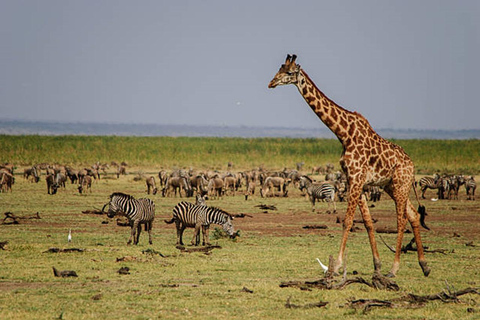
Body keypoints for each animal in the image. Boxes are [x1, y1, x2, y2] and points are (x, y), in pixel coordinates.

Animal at [268, 54, 430, 278]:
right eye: (279, 69)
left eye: (289, 72)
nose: (271, 83)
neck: (344, 134)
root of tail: (412, 165)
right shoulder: (356, 181)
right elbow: (368, 223)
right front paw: (376, 265)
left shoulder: (356, 178)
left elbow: (347, 221)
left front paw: (336, 265)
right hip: (392, 186)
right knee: (413, 215)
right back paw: (424, 265)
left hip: (401, 183)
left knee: (402, 219)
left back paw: (394, 269)